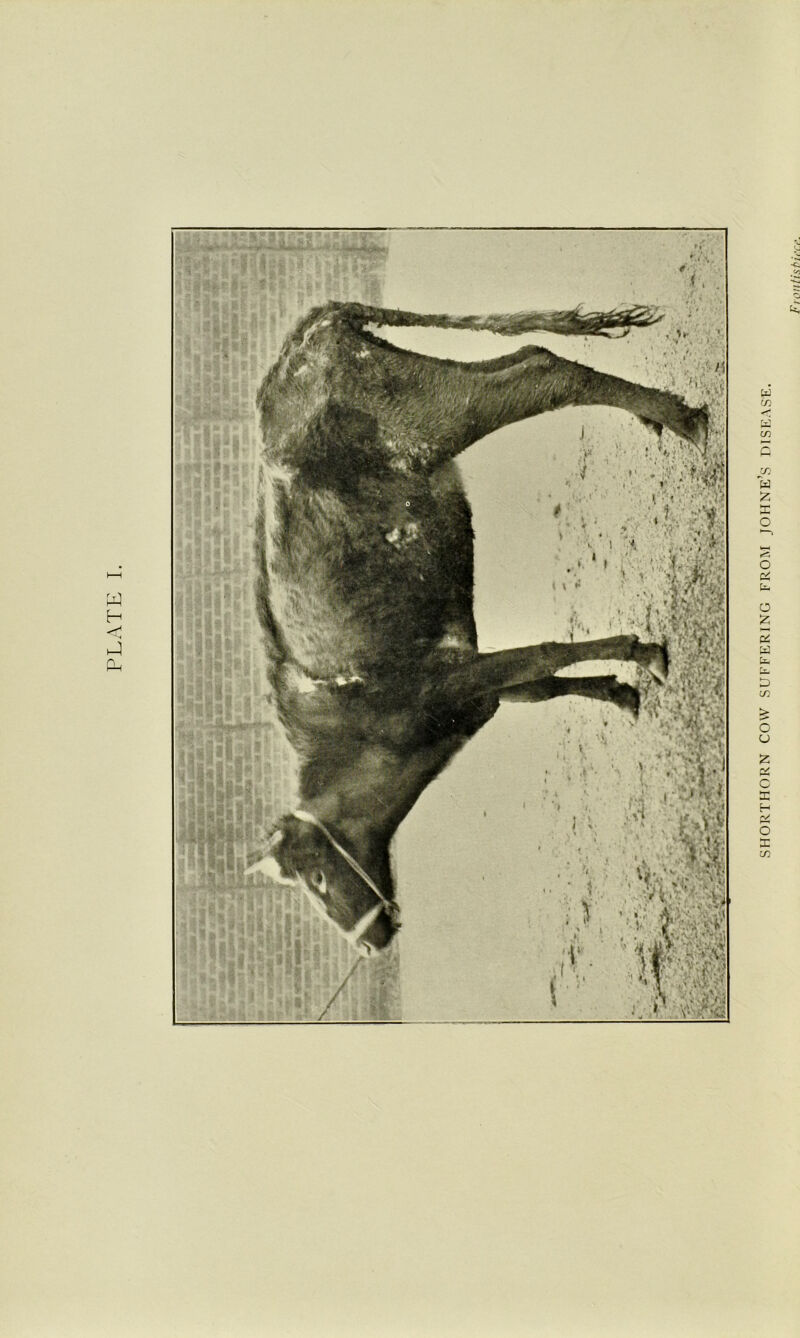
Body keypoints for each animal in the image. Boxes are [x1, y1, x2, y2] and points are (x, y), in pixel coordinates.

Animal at [245, 299, 708, 960]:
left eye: (316, 878)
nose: (368, 945)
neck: (353, 727)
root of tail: (307, 336)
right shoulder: (476, 681)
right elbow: (539, 684)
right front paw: (620, 689)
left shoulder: (448, 679)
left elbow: (543, 653)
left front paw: (643, 653)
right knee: (528, 357)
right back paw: (661, 414)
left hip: (434, 420)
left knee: (542, 375)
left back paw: (683, 418)